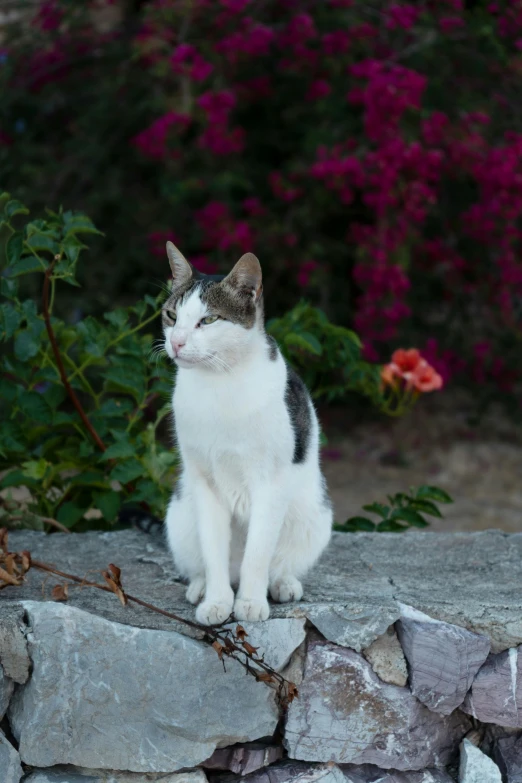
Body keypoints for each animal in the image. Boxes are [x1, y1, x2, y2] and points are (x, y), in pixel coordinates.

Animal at [162, 240, 332, 624]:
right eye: (171, 316)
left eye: (208, 320)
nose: (176, 342)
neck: (219, 384)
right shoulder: (204, 482)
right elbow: (213, 550)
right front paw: (217, 601)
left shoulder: (271, 483)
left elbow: (258, 552)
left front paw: (251, 602)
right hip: (180, 513)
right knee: (202, 562)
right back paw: (200, 587)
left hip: (314, 513)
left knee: (279, 562)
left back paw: (282, 583)